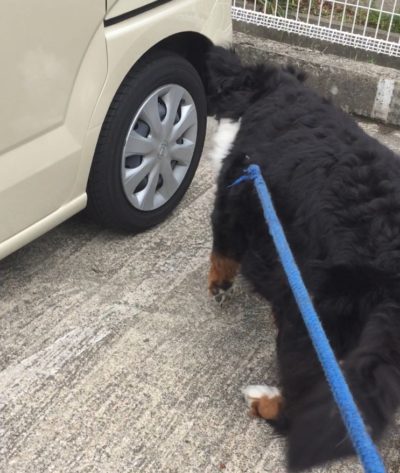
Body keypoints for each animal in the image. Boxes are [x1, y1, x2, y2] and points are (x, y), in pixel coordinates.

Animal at [206, 46, 400, 471]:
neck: (273, 95)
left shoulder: (233, 197)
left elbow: (222, 251)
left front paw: (218, 286)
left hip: (310, 326)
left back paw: (262, 401)